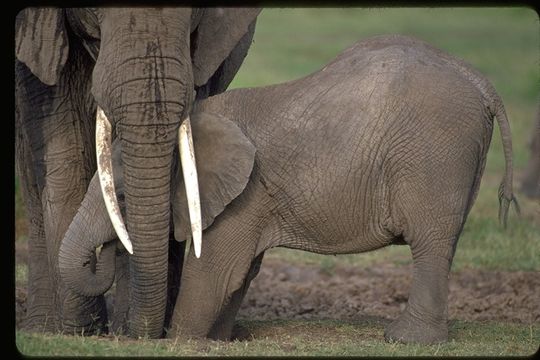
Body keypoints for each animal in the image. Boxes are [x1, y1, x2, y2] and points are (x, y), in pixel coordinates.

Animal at [58, 35, 516, 344]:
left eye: (120, 198)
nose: (106, 251)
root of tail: (480, 80)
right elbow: (242, 272)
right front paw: (218, 341)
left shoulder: (242, 197)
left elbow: (215, 271)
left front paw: (183, 341)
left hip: (433, 154)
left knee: (429, 242)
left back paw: (404, 339)